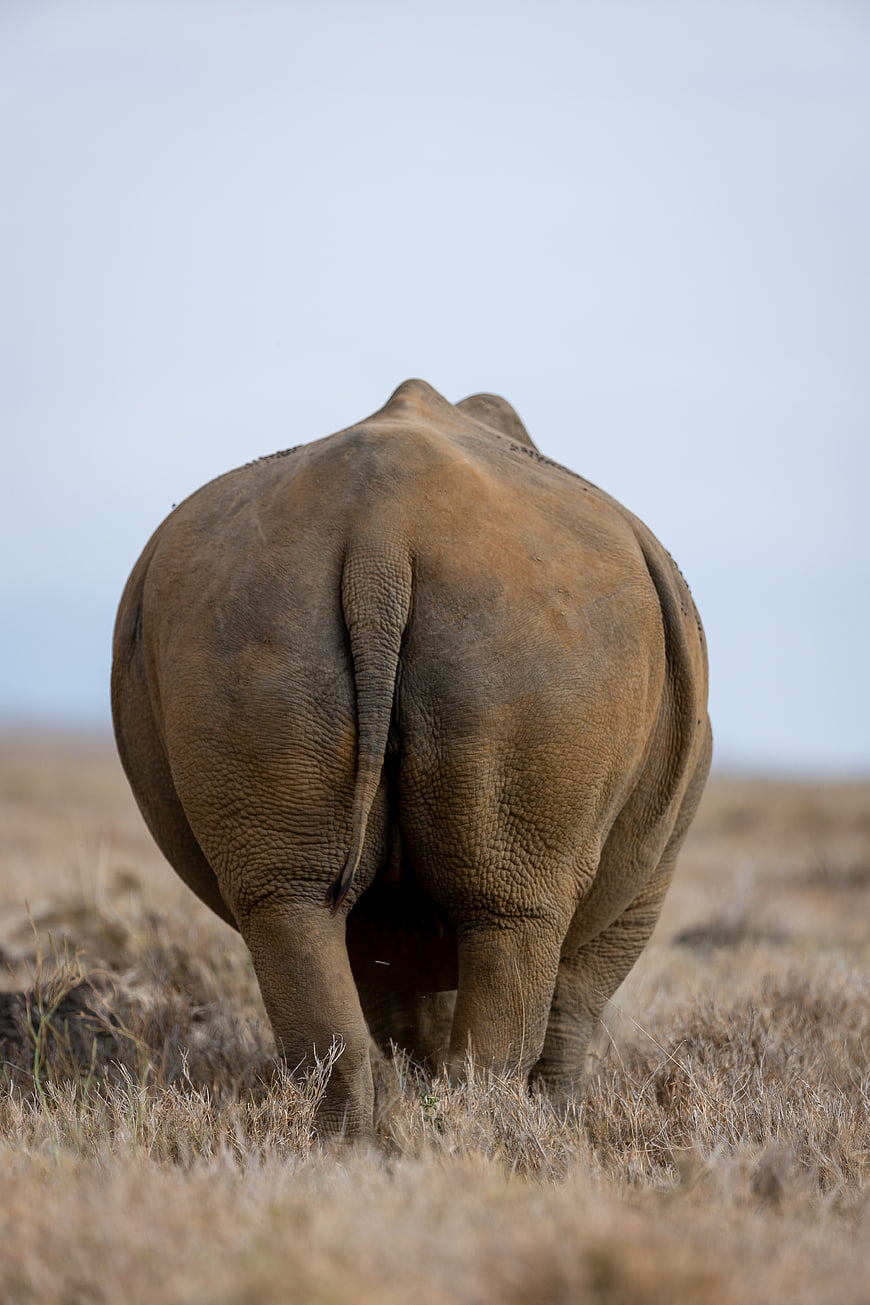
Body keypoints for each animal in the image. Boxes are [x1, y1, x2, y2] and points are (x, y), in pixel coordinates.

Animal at [112, 379, 711, 1135]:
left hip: (242, 612)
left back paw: (349, 1145)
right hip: (536, 630)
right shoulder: (653, 872)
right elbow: (576, 1000)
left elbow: (396, 990)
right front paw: (560, 1118)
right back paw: (485, 1140)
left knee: (290, 898)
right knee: (514, 912)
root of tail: (381, 538)